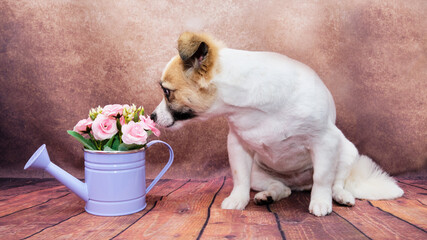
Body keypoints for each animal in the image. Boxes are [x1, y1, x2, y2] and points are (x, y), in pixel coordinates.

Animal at [151, 31, 404, 217]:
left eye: (167, 92)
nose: (152, 116)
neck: (254, 105)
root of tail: (300, 184)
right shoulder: (238, 146)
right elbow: (240, 179)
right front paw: (238, 200)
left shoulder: (325, 142)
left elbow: (323, 178)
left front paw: (321, 202)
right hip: (260, 174)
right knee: (282, 188)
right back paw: (268, 195)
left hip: (346, 152)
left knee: (336, 182)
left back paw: (340, 196)